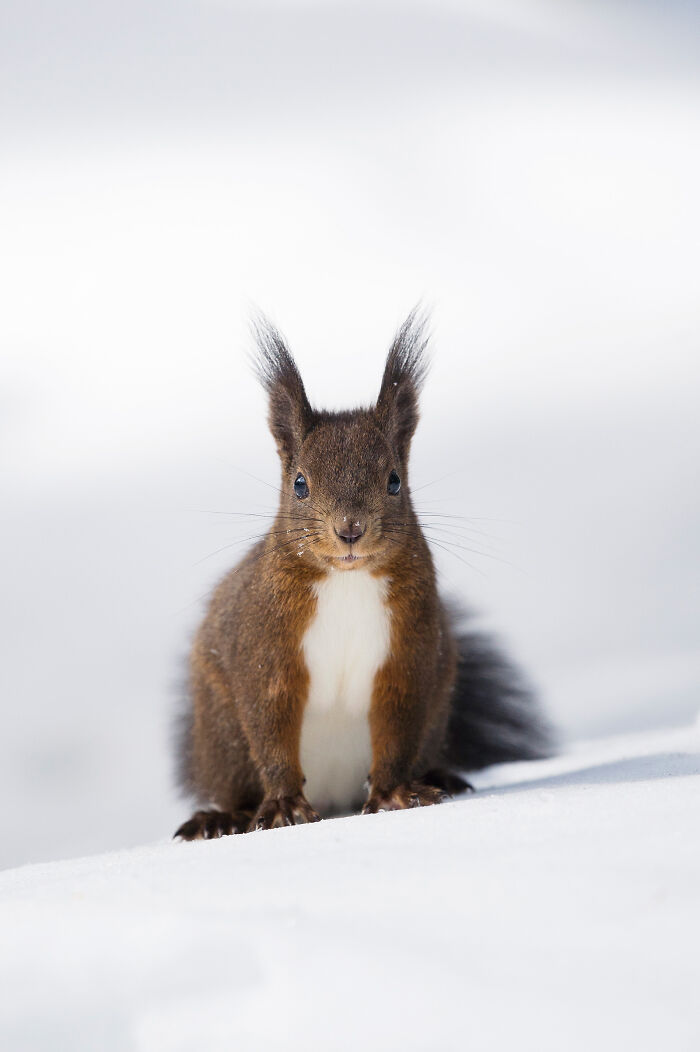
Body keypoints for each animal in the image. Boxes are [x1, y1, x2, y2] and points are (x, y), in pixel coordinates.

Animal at [174, 310, 550, 839]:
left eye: (394, 480)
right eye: (299, 484)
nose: (349, 529)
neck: (346, 580)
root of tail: (335, 798)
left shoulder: (408, 648)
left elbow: (396, 725)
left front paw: (395, 795)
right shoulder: (263, 644)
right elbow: (270, 725)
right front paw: (284, 806)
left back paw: (441, 777)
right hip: (221, 738)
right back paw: (221, 817)